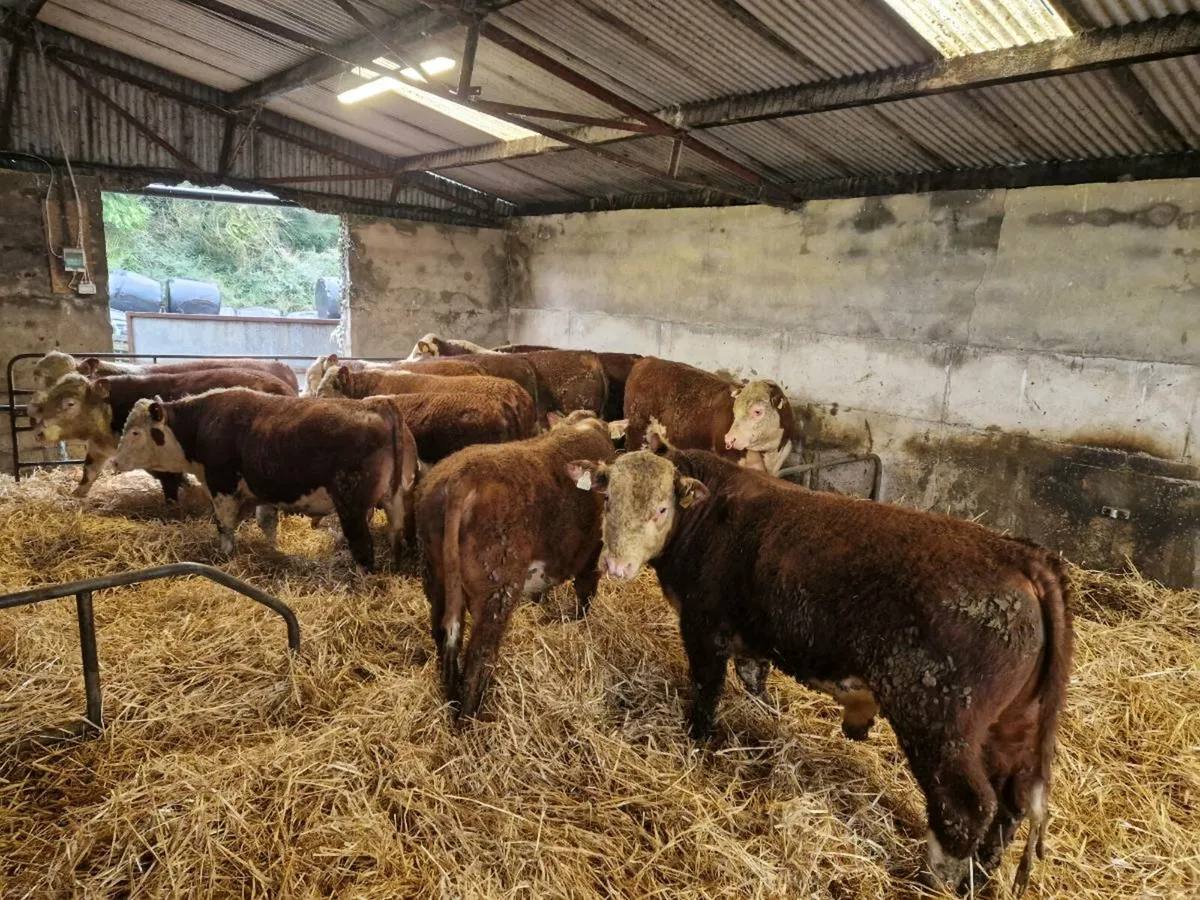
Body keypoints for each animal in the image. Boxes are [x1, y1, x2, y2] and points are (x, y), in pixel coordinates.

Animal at [28, 368, 295, 500]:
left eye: (69, 403)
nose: (38, 432)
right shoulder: (98, 447)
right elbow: (88, 473)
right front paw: (76, 496)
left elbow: (171, 485)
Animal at [114, 389, 418, 571]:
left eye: (136, 433)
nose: (115, 463)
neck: (202, 423)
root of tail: (379, 404)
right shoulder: (263, 491)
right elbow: (267, 523)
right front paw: (274, 550)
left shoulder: (222, 487)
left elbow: (224, 526)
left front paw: (226, 557)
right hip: (396, 500)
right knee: (396, 536)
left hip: (352, 507)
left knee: (363, 548)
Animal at [416, 410, 616, 724]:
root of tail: (462, 478)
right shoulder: (592, 553)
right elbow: (585, 595)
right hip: (498, 589)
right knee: (480, 656)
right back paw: (470, 721)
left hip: (435, 579)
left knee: (443, 637)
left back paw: (452, 702)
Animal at [567, 439, 1074, 897]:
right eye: (608, 499)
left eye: (660, 509)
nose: (615, 565)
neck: (709, 519)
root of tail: (1023, 558)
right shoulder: (751, 632)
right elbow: (753, 677)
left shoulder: (704, 626)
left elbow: (707, 689)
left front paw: (698, 739)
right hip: (1011, 722)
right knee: (1009, 803)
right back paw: (980, 878)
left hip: (940, 722)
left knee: (966, 808)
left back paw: (934, 881)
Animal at [623, 357, 798, 476]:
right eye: (734, 409)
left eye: (757, 411)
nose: (729, 439)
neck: (769, 452)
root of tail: (647, 360)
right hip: (637, 432)